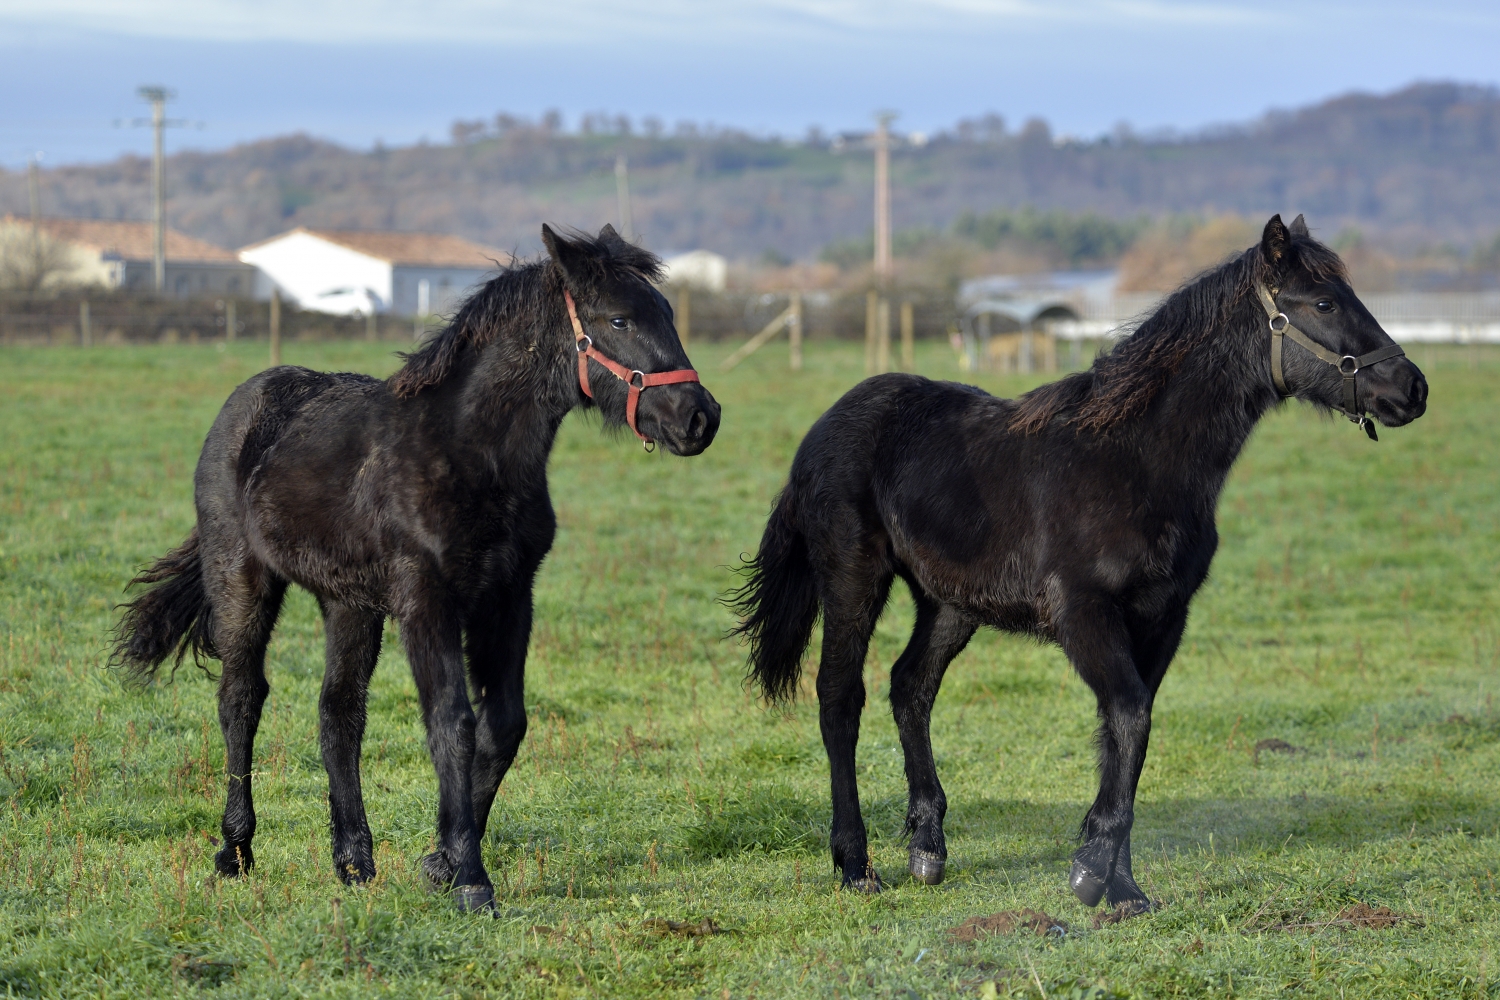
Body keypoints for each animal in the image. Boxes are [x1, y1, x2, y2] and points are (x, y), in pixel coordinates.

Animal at [114, 223, 717, 911]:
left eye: (666, 312)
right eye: (618, 318)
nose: (699, 417)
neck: (470, 455)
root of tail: (245, 402)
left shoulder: (509, 597)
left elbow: (503, 724)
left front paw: (438, 862)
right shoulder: (426, 598)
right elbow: (451, 722)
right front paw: (471, 879)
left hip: (348, 601)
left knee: (339, 712)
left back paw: (353, 859)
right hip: (241, 576)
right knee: (241, 698)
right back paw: (235, 851)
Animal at [732, 215, 1422, 917]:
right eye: (1324, 303)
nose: (1412, 389)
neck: (1133, 460)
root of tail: (819, 433)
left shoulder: (1162, 616)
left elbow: (1125, 732)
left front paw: (1122, 886)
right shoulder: (1084, 612)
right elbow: (1130, 716)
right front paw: (1091, 873)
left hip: (950, 602)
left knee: (911, 687)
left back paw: (927, 846)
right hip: (854, 577)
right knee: (840, 696)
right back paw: (854, 864)